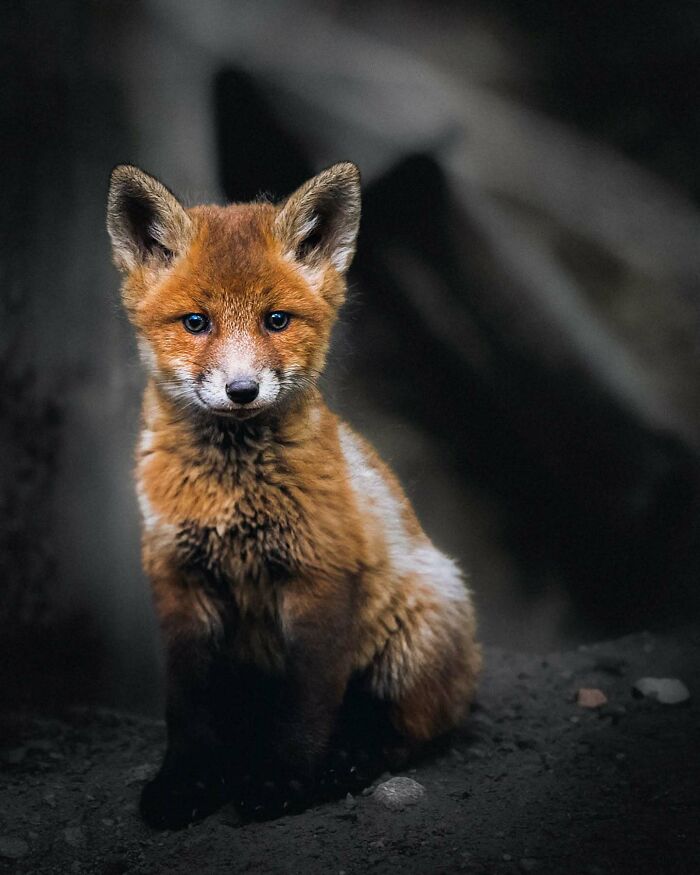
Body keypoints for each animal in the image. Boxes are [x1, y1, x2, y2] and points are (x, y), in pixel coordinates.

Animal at [105, 163, 482, 828]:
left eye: (276, 320)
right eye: (196, 323)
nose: (242, 390)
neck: (233, 490)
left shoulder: (319, 578)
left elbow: (306, 707)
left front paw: (283, 782)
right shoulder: (179, 580)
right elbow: (187, 709)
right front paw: (186, 782)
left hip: (413, 633)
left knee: (407, 729)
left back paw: (346, 765)